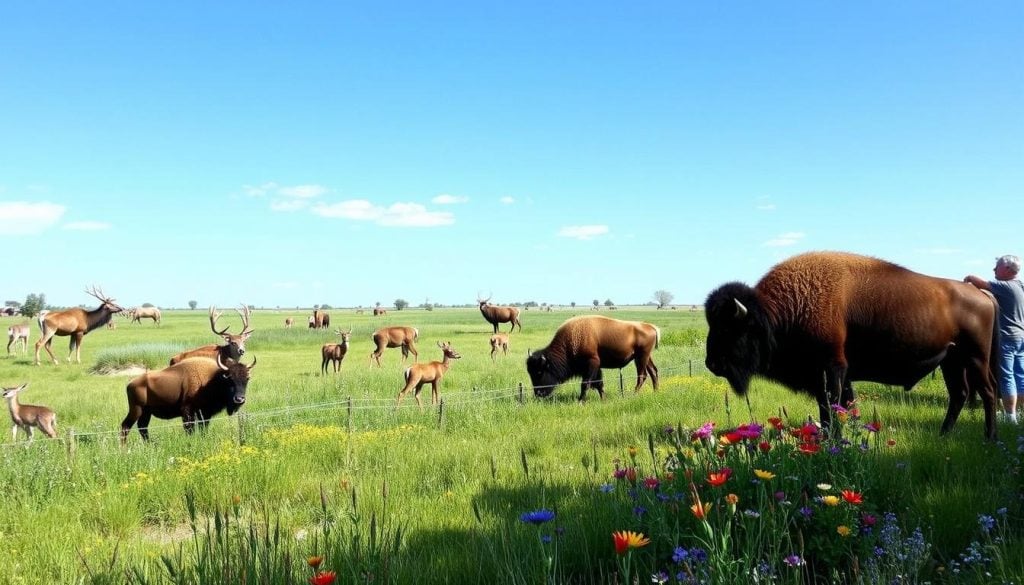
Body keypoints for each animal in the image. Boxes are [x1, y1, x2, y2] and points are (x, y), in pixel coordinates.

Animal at [120, 354, 254, 442]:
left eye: (247, 379)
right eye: (229, 379)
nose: (239, 399)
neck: (212, 379)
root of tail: (130, 383)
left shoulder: (205, 413)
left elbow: (203, 428)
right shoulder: (188, 411)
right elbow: (189, 429)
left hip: (146, 412)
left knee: (142, 428)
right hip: (136, 409)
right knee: (125, 426)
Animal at [524, 315, 659, 403]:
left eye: (539, 372)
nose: (538, 394)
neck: (571, 341)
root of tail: (651, 327)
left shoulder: (592, 363)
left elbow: (586, 383)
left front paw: (580, 401)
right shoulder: (596, 367)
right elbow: (599, 383)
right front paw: (603, 399)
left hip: (641, 357)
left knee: (642, 376)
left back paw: (633, 395)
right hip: (646, 357)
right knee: (653, 372)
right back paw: (656, 391)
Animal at [704, 252, 999, 438]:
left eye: (728, 328)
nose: (711, 363)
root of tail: (981, 294)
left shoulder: (830, 369)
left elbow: (831, 407)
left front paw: (833, 440)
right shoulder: (835, 374)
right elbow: (840, 407)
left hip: (975, 358)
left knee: (988, 392)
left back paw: (990, 438)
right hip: (952, 361)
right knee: (959, 394)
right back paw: (943, 435)